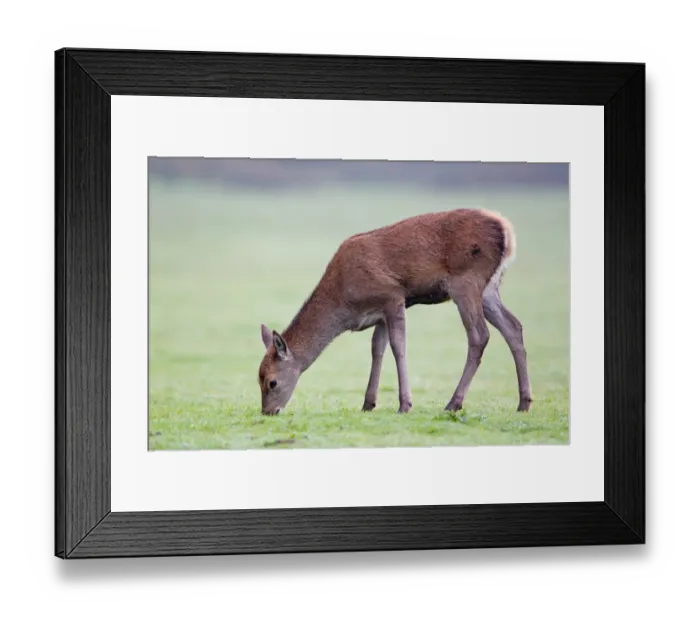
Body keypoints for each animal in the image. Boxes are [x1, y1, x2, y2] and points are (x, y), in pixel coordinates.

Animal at [258, 208, 532, 416]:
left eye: (272, 382)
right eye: (257, 379)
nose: (268, 412)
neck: (344, 301)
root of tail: (506, 230)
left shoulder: (393, 297)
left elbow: (398, 347)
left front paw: (404, 405)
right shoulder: (379, 313)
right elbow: (377, 348)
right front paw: (368, 403)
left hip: (466, 281)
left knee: (479, 335)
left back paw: (453, 403)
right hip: (489, 288)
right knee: (514, 326)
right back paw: (523, 403)